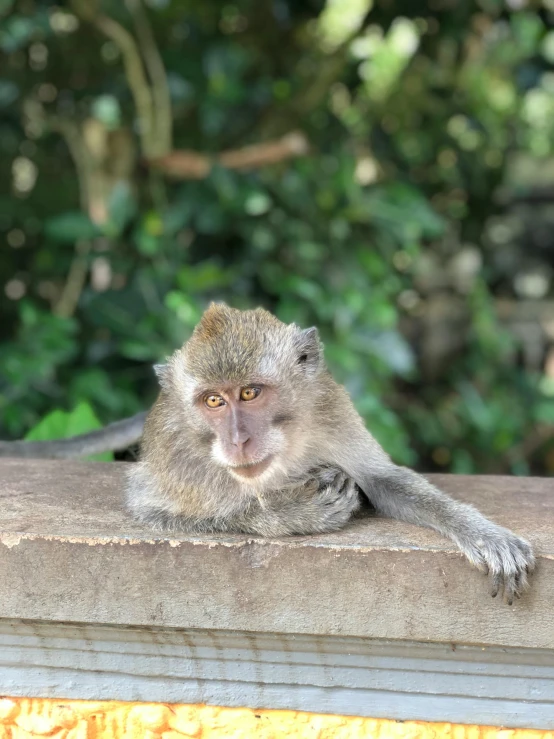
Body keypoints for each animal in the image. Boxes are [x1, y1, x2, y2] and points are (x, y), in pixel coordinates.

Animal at [124, 304, 532, 604]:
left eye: (250, 393)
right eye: (213, 401)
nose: (238, 440)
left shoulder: (331, 409)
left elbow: (384, 481)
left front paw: (484, 534)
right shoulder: (177, 459)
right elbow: (152, 509)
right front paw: (294, 512)